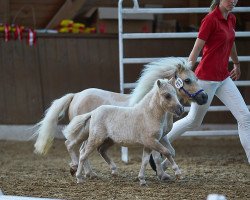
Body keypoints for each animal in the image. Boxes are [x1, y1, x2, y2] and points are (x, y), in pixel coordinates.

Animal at [33, 57, 207, 180]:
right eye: (187, 80)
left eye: (196, 78)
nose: (204, 97)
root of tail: (76, 95)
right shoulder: (152, 138)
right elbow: (159, 155)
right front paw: (162, 175)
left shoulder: (162, 136)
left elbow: (170, 151)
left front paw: (162, 173)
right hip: (87, 133)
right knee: (76, 147)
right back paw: (80, 170)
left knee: (83, 149)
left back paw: (91, 172)